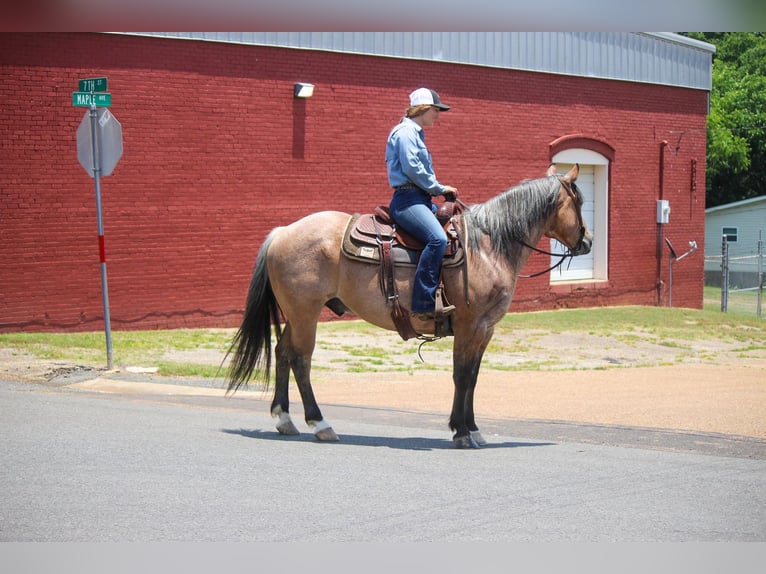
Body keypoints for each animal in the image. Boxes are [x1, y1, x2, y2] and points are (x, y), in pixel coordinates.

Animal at [225, 163, 592, 450]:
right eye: (579, 201)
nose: (587, 241)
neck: (488, 246)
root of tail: (282, 232)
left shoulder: (485, 328)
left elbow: (473, 377)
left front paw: (474, 429)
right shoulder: (469, 325)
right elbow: (461, 375)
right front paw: (460, 432)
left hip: (298, 314)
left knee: (283, 353)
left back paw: (284, 419)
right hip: (306, 313)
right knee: (301, 360)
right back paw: (320, 424)